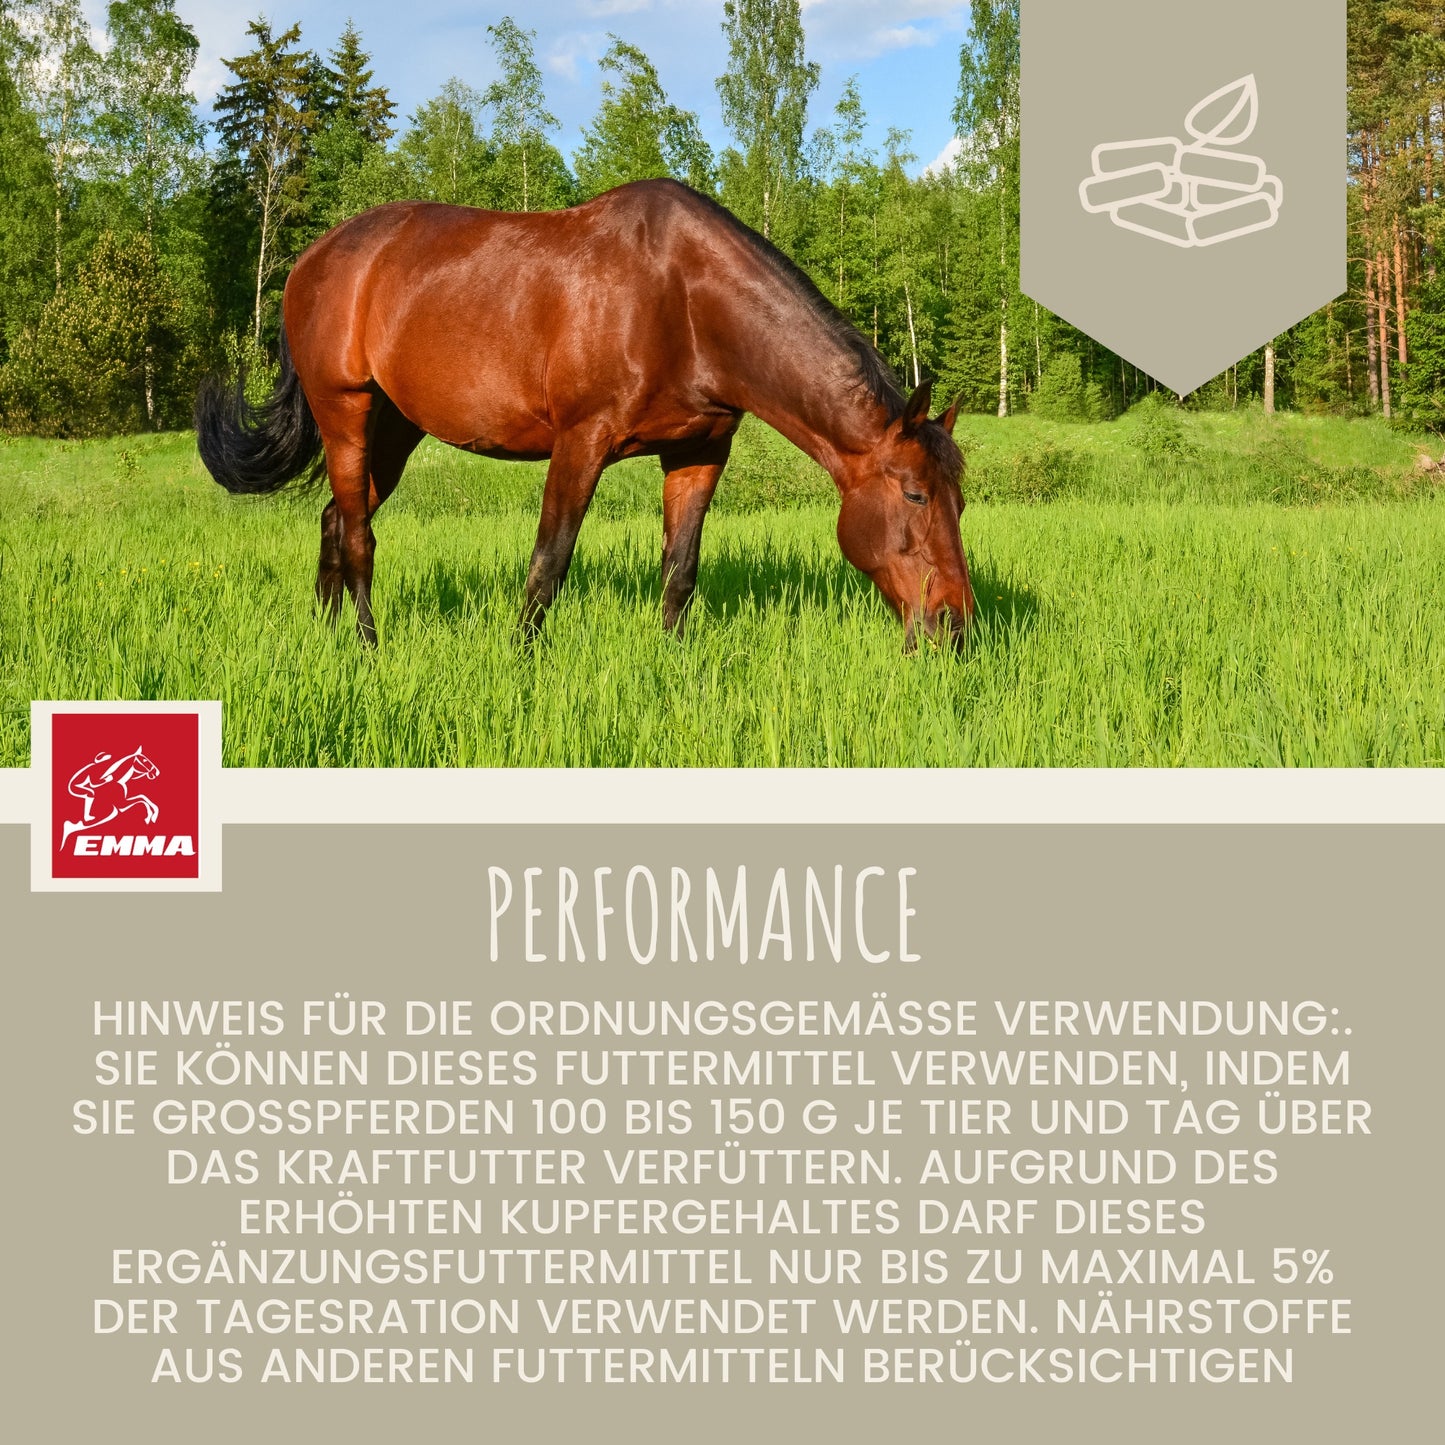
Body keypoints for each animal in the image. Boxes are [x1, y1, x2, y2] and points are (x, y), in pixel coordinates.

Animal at [196, 179, 974, 649]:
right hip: (345, 412)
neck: (683, 300)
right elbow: (548, 564)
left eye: (960, 501)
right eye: (914, 494)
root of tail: (312, 260)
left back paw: (328, 635)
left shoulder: (699, 451)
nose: (957, 625)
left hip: (395, 428)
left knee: (335, 518)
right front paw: (520, 662)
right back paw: (366, 643)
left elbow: (681, 569)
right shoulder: (581, 442)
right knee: (357, 534)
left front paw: (671, 662)